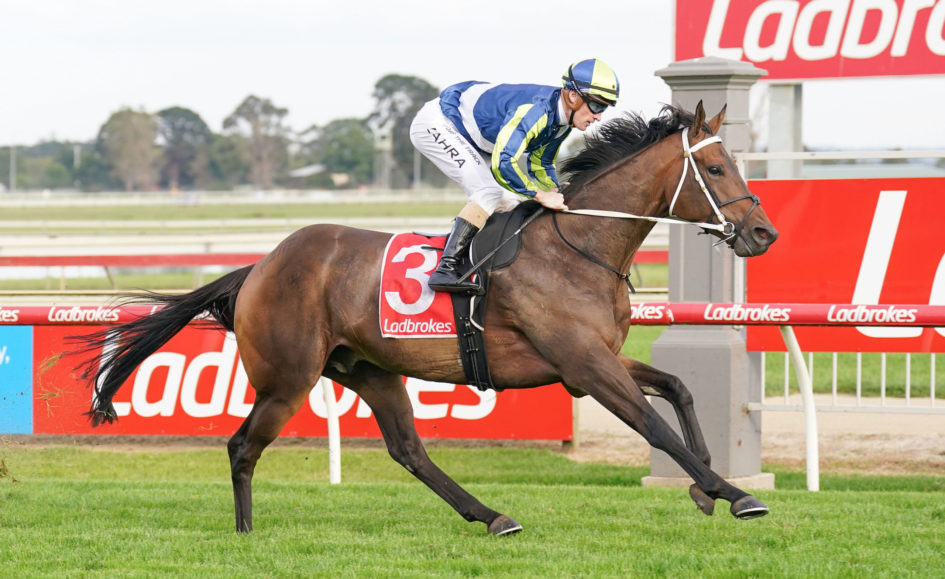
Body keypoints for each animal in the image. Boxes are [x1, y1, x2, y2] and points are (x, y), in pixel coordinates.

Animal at [74, 101, 778, 535]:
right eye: (716, 167)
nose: (763, 233)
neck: (578, 244)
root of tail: (261, 266)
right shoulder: (583, 365)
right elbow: (652, 425)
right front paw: (735, 494)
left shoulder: (594, 357)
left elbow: (680, 389)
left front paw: (706, 487)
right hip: (288, 378)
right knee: (243, 445)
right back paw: (246, 534)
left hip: (369, 368)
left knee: (409, 450)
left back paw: (493, 516)